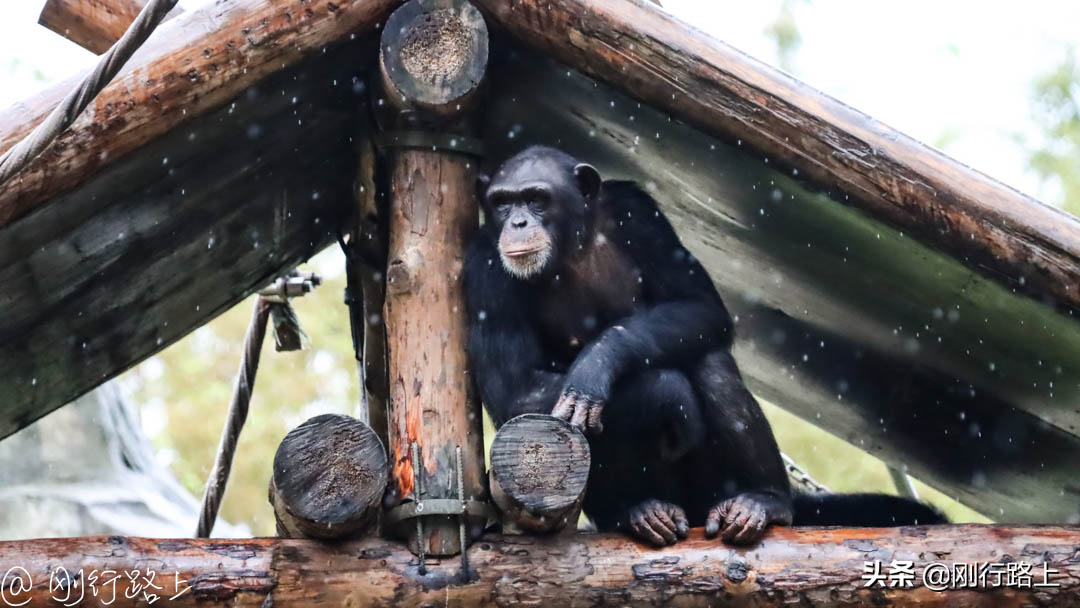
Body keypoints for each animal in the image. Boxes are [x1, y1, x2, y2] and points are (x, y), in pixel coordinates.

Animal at [464, 145, 946, 546]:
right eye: (502, 202)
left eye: (536, 199)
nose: (517, 222)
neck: (572, 246)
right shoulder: (483, 268)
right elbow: (517, 389)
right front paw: (667, 393)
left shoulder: (641, 216)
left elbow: (700, 306)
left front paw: (595, 366)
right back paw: (639, 511)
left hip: (713, 493)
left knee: (710, 362)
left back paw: (764, 501)